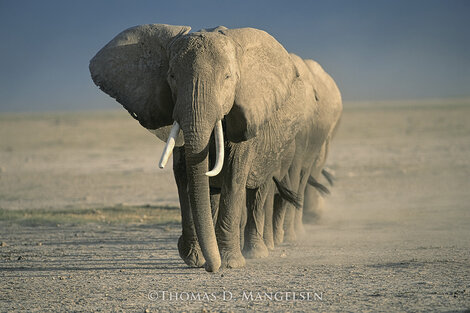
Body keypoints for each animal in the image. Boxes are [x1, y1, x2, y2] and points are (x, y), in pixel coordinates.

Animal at [90, 23, 342, 270]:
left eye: (228, 77)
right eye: (171, 76)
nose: (212, 267)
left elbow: (234, 174)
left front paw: (230, 262)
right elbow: (184, 175)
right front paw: (194, 258)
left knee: (263, 190)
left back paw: (259, 251)